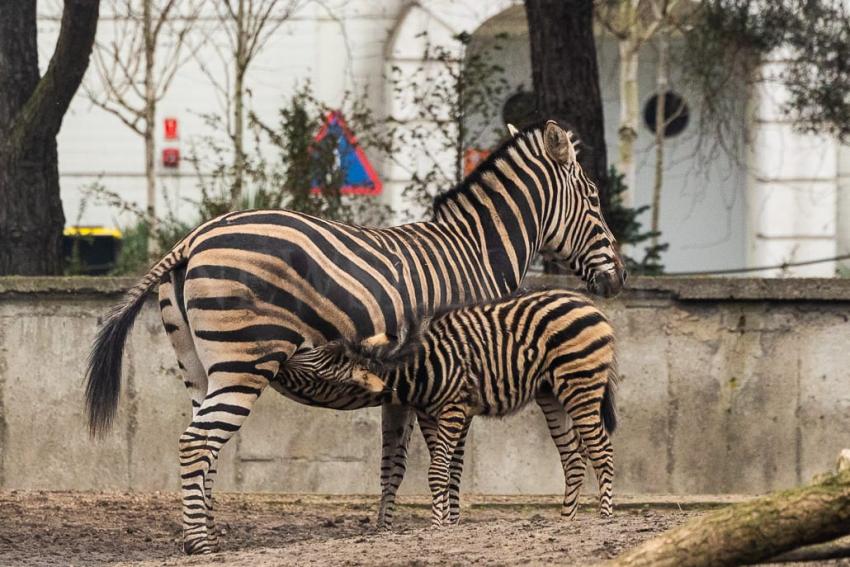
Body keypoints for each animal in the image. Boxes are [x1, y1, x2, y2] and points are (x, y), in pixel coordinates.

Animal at [308, 290, 612, 524]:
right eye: (326, 351)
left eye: (324, 368)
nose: (300, 351)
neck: (420, 368)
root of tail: (588, 302)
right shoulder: (429, 414)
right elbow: (443, 469)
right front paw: (444, 521)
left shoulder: (453, 409)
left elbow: (438, 470)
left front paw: (436, 525)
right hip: (551, 394)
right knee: (574, 458)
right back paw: (566, 520)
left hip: (580, 384)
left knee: (602, 449)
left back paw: (604, 517)